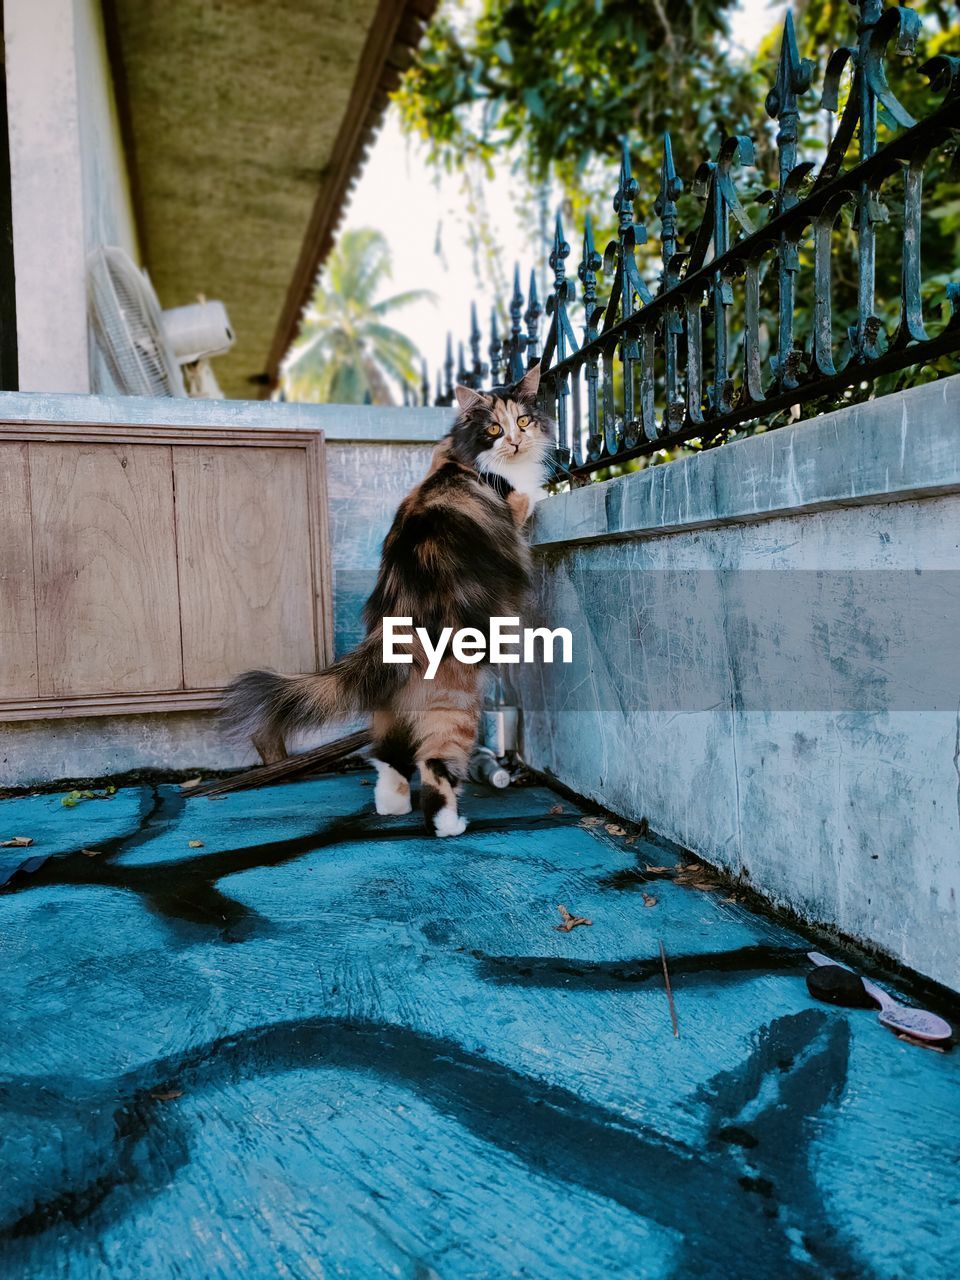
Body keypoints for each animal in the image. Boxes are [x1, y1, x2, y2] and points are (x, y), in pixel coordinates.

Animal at [225, 366, 552, 834]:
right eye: (494, 428)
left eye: (523, 420)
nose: (516, 441)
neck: (460, 457)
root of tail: (398, 617)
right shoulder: (511, 502)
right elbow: (528, 496)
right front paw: (546, 489)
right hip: (455, 701)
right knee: (434, 764)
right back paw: (448, 824)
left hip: (392, 703)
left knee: (387, 755)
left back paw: (391, 805)